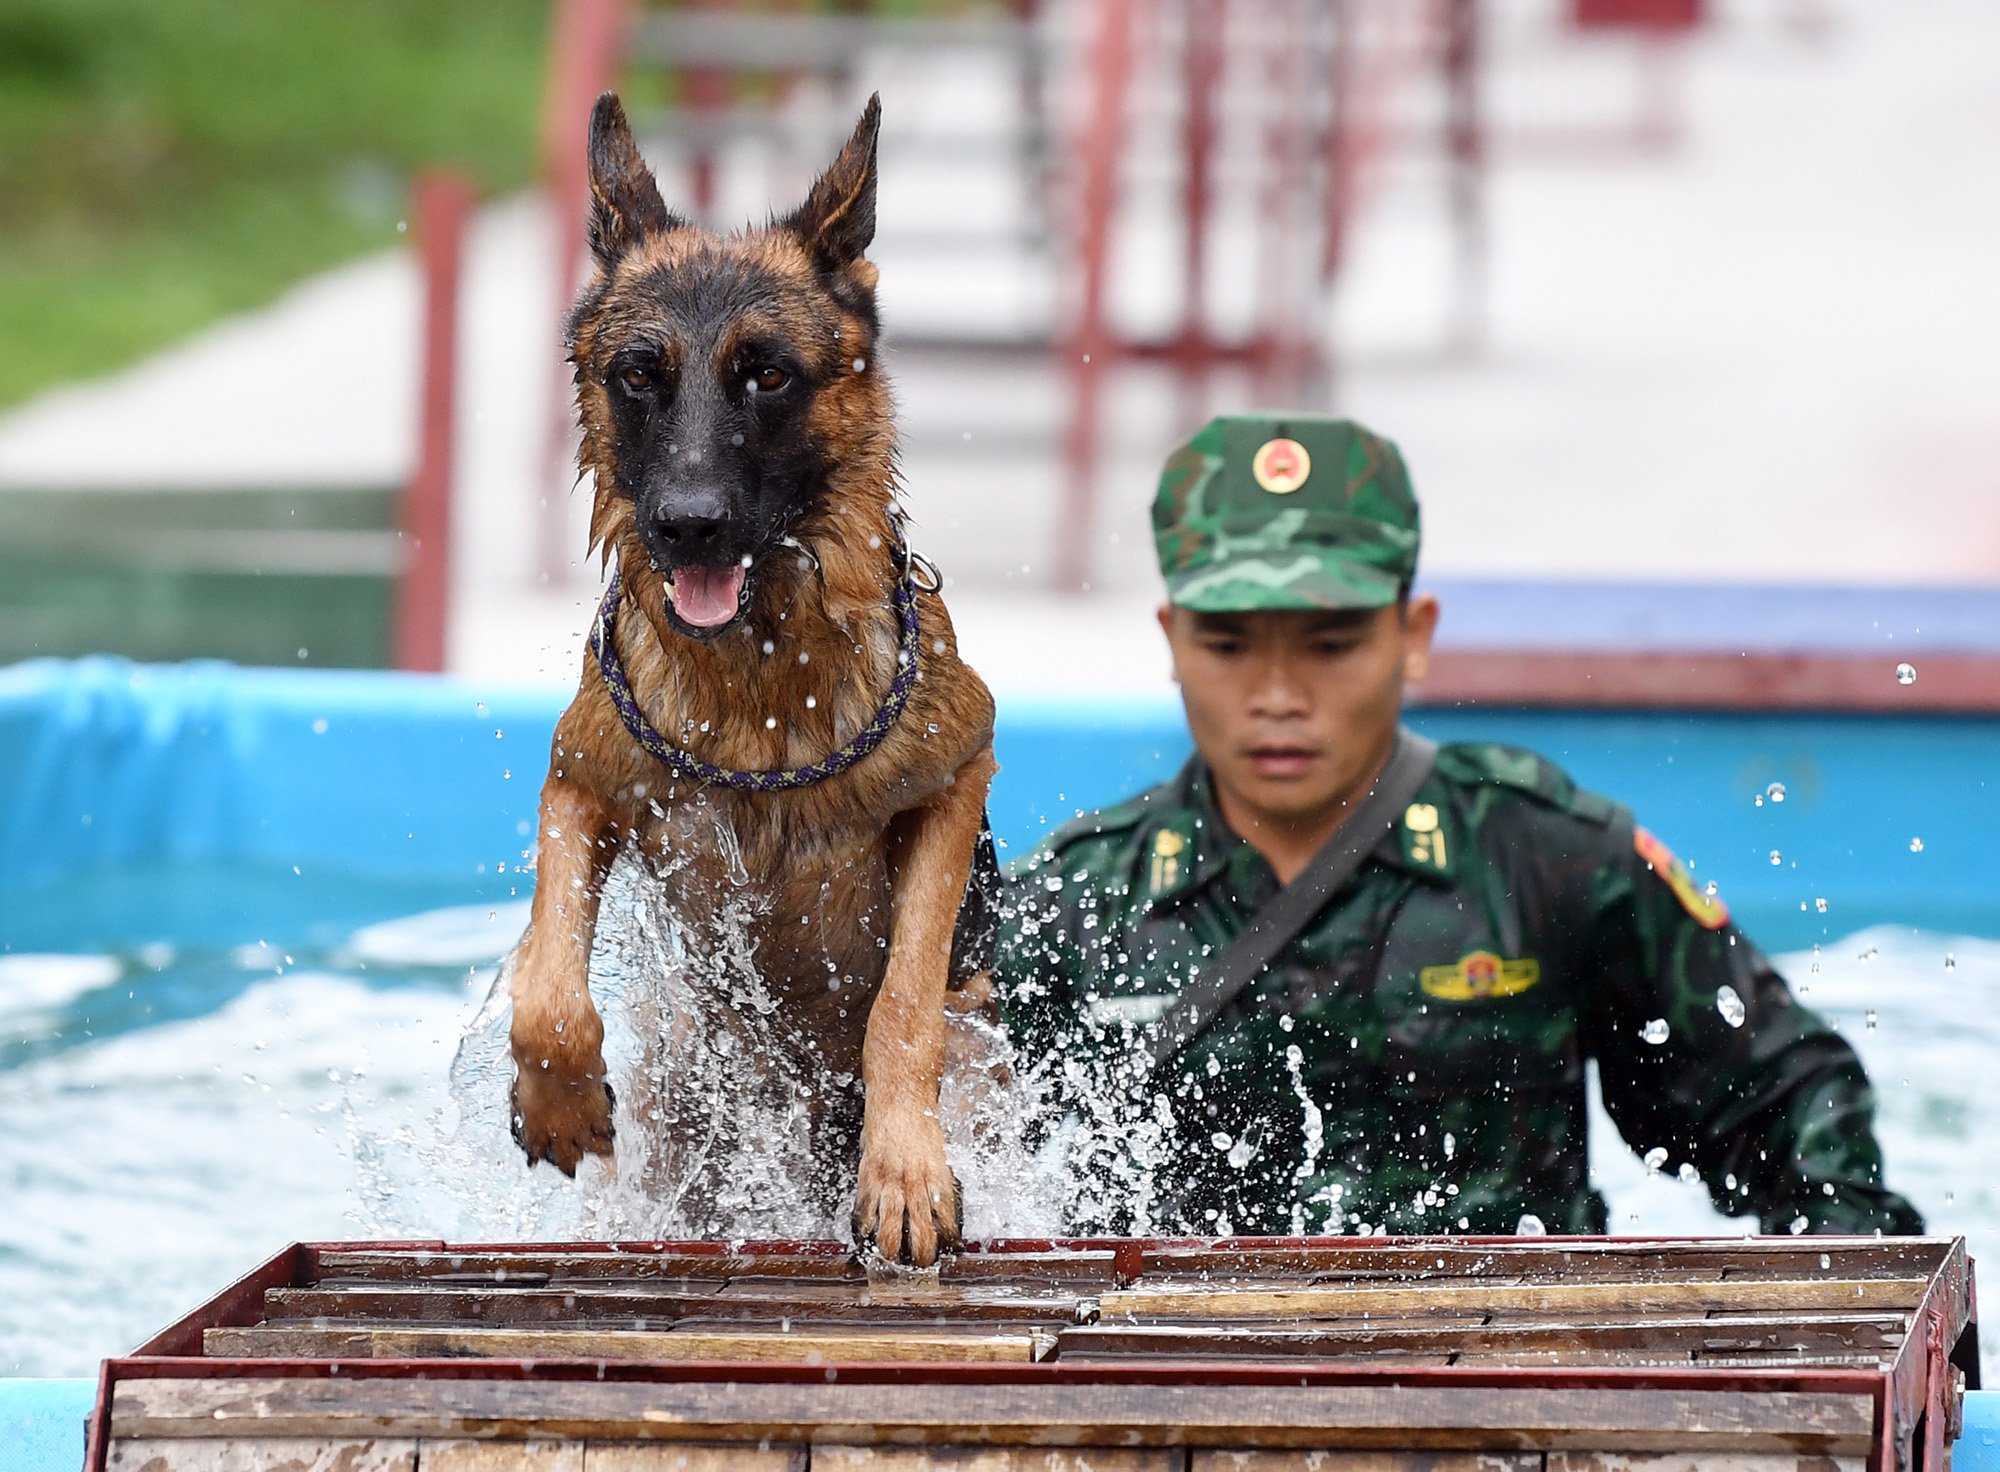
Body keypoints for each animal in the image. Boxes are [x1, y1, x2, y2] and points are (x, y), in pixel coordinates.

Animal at [504, 92, 996, 1264]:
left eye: (766, 374)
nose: (688, 526)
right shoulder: (581, 779)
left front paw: (901, 1167)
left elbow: (902, 1002)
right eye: (638, 374)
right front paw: (556, 1097)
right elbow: (548, 986)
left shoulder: (959, 776)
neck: (760, 690)